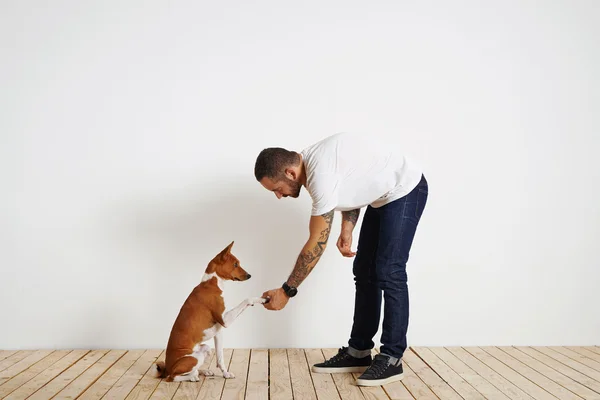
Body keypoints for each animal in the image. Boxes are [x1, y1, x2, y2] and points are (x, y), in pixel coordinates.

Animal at [151, 241, 264, 382]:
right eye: (235, 264)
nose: (249, 275)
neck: (213, 283)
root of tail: (167, 368)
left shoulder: (219, 331)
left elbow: (220, 358)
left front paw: (225, 374)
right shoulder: (225, 321)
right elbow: (247, 299)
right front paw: (260, 299)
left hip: (205, 348)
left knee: (198, 364)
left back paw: (203, 371)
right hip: (193, 359)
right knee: (173, 377)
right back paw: (193, 377)